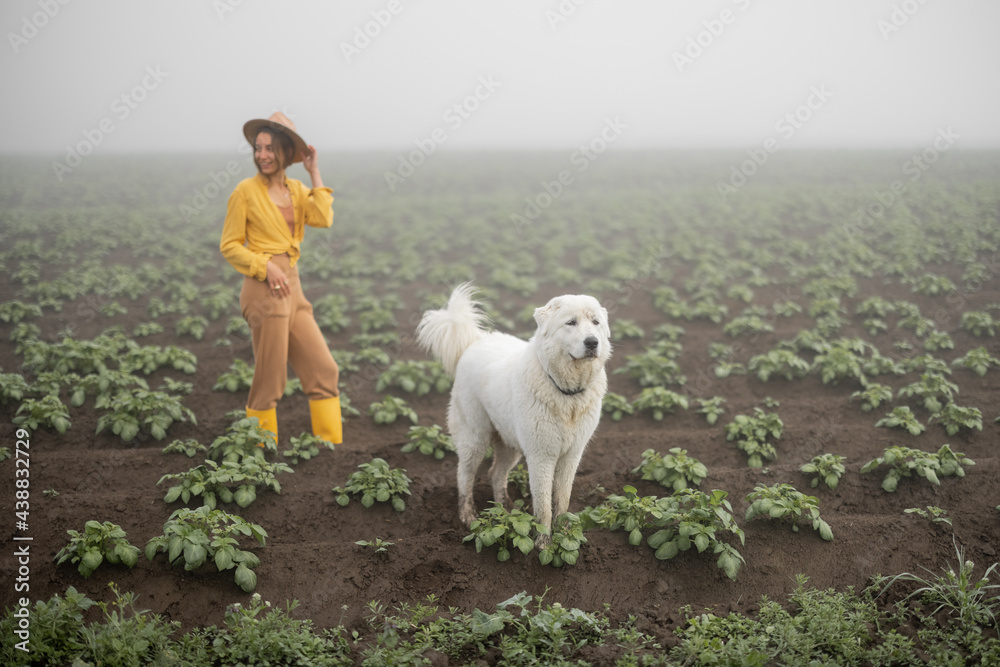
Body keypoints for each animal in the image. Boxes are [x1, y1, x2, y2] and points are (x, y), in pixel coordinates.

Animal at [414, 282, 608, 544]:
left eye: (596, 322)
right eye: (571, 323)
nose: (592, 342)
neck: (566, 391)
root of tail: (476, 341)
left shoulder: (572, 454)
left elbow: (562, 500)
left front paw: (566, 536)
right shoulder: (541, 456)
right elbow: (543, 505)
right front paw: (543, 544)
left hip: (510, 443)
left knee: (495, 474)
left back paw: (505, 510)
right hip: (475, 437)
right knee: (464, 475)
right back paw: (468, 515)